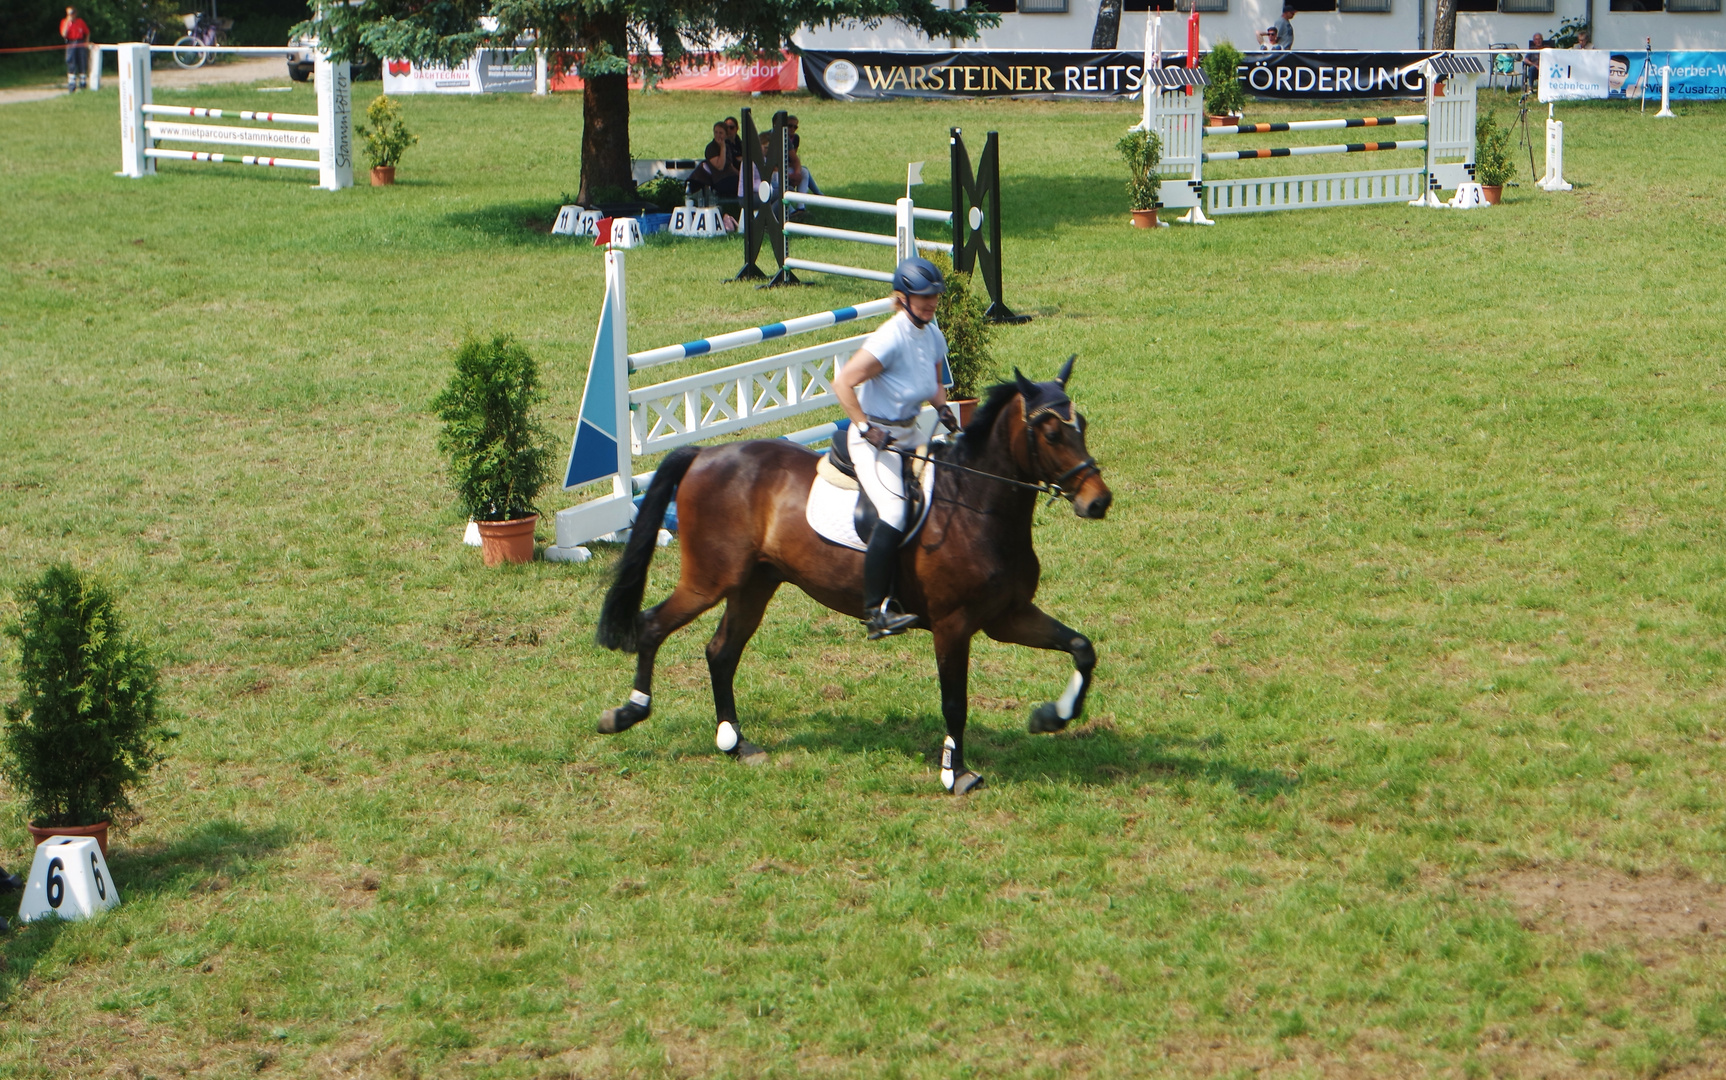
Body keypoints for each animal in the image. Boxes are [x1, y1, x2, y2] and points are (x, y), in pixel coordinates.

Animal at [593, 358, 1111, 790]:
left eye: (1081, 425)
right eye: (1051, 433)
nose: (1098, 501)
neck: (976, 504)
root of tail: (702, 455)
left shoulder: (1008, 616)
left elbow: (1082, 648)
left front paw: (1052, 717)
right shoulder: (953, 625)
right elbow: (954, 701)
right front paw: (956, 773)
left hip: (754, 584)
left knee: (721, 652)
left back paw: (735, 743)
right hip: (708, 580)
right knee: (652, 626)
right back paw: (626, 714)